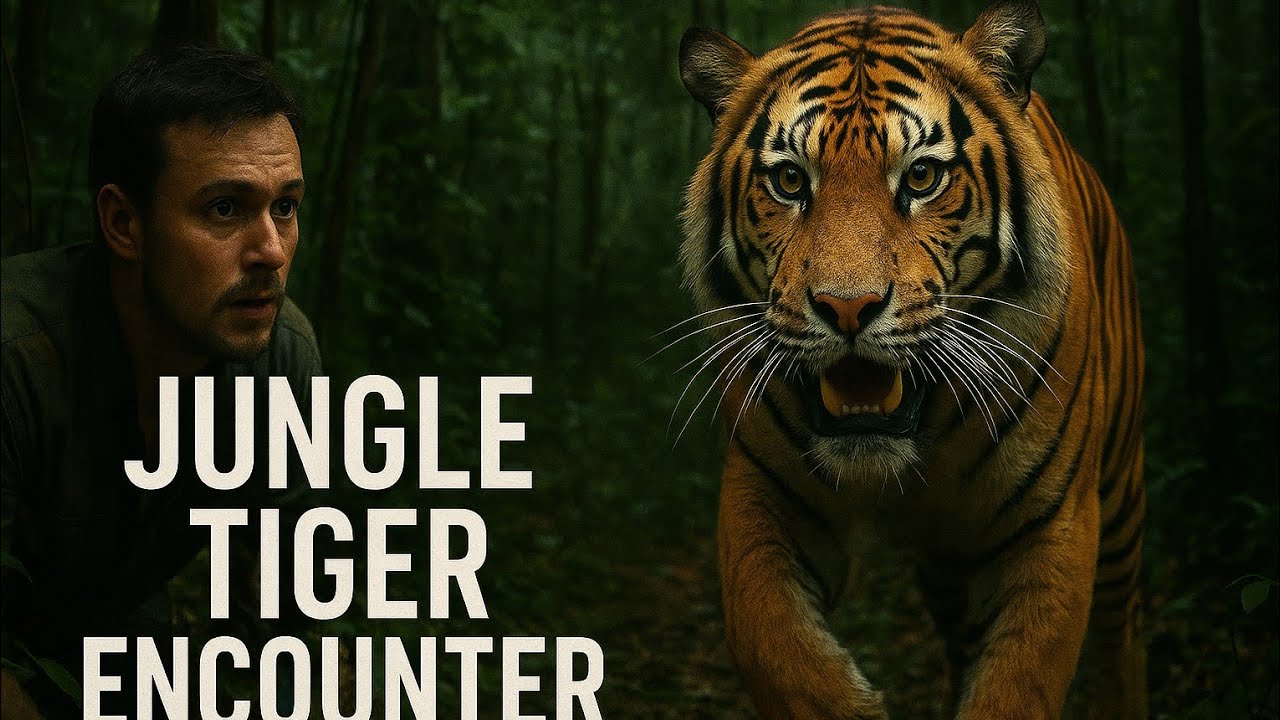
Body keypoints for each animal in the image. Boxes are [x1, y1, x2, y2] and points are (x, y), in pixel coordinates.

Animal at [675, 1, 1145, 718]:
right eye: (790, 180)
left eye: (921, 177)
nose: (847, 307)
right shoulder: (764, 493)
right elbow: (774, 645)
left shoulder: (1055, 520)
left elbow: (1021, 683)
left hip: (1119, 509)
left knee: (1124, 640)